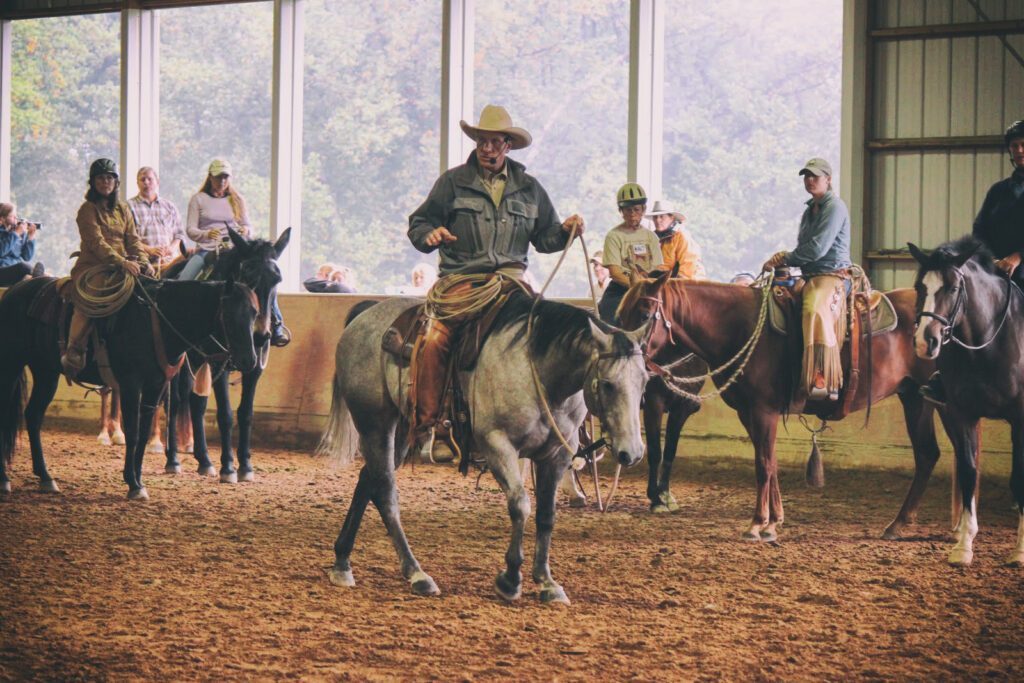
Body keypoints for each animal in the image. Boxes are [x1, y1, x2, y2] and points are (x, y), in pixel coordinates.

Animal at [1, 274, 256, 499]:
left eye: (254, 313)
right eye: (229, 315)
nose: (249, 360)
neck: (157, 323)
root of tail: (13, 291)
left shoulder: (156, 386)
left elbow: (143, 433)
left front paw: (138, 480)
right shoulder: (131, 384)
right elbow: (132, 432)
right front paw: (133, 484)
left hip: (46, 372)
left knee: (33, 416)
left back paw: (46, 478)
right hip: (11, 365)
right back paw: (5, 481)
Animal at [163, 228, 290, 481]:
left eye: (277, 279)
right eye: (247, 275)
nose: (261, 335)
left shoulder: (254, 368)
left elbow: (246, 414)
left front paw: (246, 467)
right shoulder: (219, 363)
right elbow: (226, 415)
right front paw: (229, 467)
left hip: (197, 363)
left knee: (196, 404)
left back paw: (204, 460)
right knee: (176, 403)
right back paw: (173, 460)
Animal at [317, 292, 647, 602]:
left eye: (644, 381)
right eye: (607, 384)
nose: (632, 452)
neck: (540, 373)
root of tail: (366, 314)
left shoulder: (557, 455)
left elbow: (546, 514)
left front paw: (547, 582)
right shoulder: (497, 445)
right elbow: (520, 505)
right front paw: (510, 579)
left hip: (400, 429)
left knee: (368, 480)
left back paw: (342, 562)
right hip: (376, 423)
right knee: (385, 493)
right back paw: (416, 573)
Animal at [610, 270, 946, 540]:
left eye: (643, 315)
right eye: (620, 315)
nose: (618, 359)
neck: (740, 328)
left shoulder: (763, 411)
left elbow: (763, 464)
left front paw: (758, 524)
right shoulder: (748, 413)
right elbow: (769, 462)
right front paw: (775, 520)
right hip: (915, 397)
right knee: (927, 454)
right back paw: (899, 524)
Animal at [909, 237, 1024, 569]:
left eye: (952, 289)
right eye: (920, 287)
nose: (925, 342)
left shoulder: (1020, 419)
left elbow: (1018, 477)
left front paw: (1020, 551)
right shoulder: (961, 414)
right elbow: (968, 471)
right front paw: (964, 546)